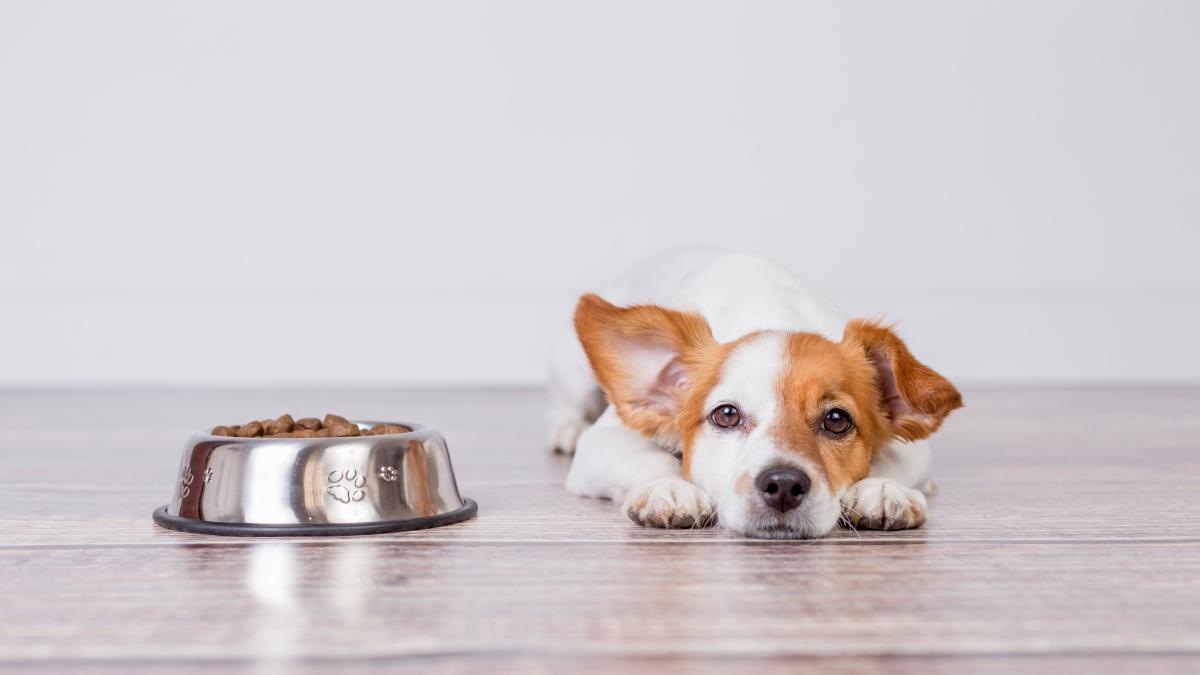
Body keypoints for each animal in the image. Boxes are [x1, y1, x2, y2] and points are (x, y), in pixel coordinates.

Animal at [549, 249, 960, 538]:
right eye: (726, 414)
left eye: (837, 420)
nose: (784, 485)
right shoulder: (604, 441)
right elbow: (649, 457)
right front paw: (669, 487)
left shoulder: (915, 450)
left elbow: (890, 461)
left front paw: (881, 489)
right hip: (574, 374)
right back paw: (565, 430)